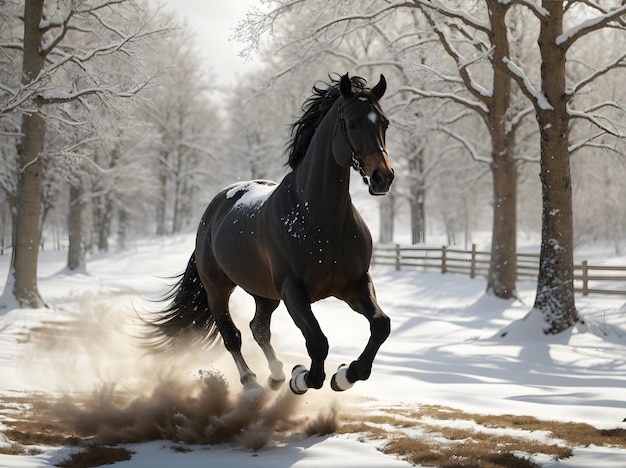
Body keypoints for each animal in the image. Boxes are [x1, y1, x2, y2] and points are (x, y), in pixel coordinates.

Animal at [149, 74, 392, 394]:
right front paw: (301, 377)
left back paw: (276, 374)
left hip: (263, 292)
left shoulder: (355, 284)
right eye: (352, 123)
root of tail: (212, 212)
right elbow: (317, 342)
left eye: (384, 123)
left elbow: (380, 326)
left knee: (259, 328)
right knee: (233, 336)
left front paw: (345, 375)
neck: (321, 221)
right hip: (218, 290)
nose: (383, 178)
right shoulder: (293, 290)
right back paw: (252, 383)